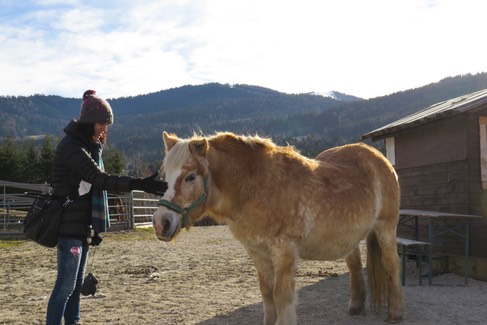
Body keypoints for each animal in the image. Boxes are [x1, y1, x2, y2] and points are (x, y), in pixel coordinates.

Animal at [152, 130, 404, 322]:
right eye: (166, 176)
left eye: (190, 177)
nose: (161, 223)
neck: (258, 187)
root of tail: (380, 159)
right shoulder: (257, 252)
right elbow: (267, 294)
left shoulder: (284, 251)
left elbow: (281, 296)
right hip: (349, 237)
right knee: (354, 265)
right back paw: (356, 306)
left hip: (385, 228)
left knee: (392, 264)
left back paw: (395, 313)